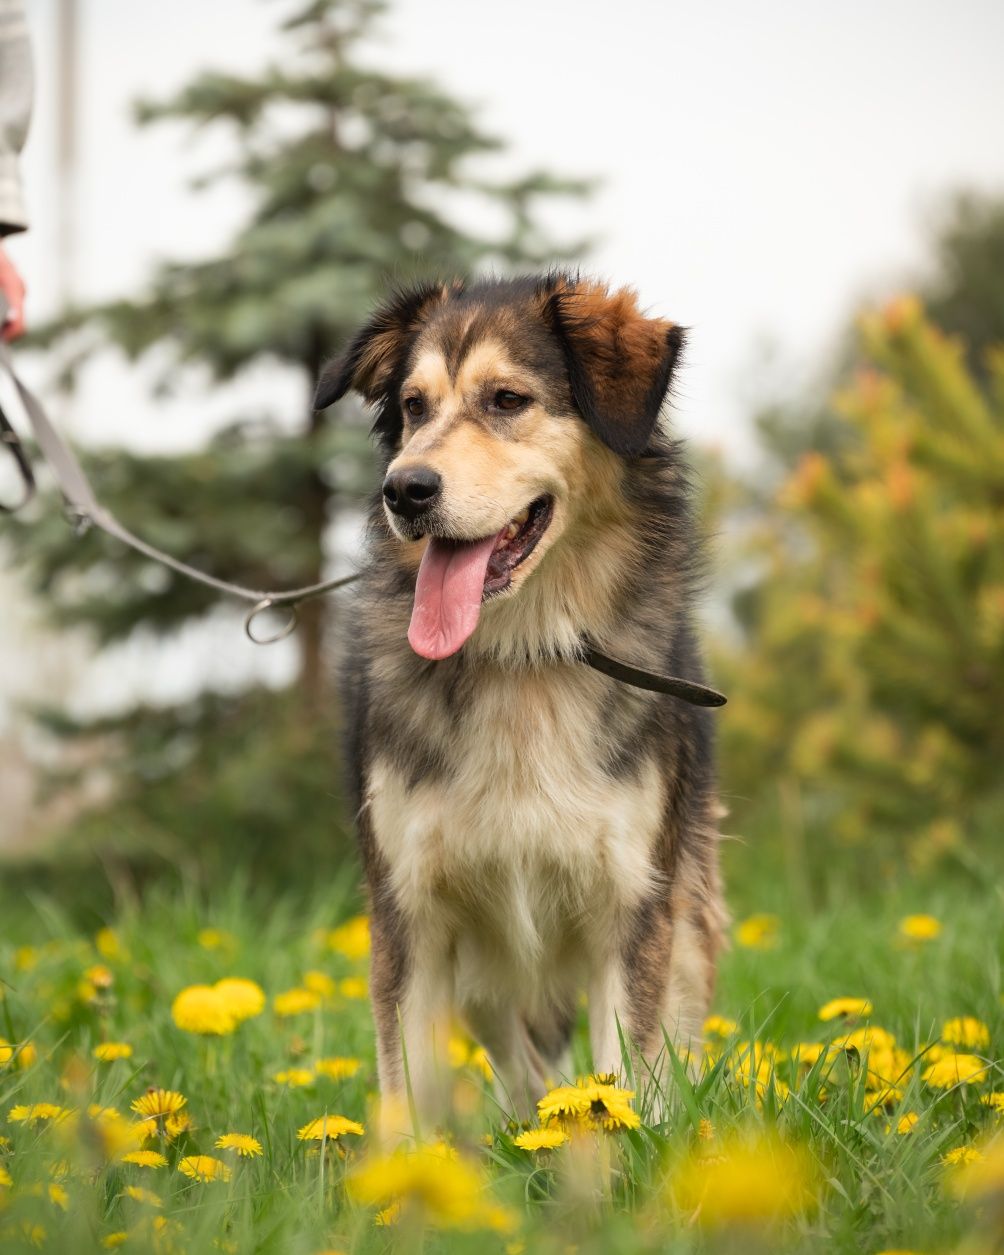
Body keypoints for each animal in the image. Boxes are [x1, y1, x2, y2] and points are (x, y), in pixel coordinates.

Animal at [317, 274, 727, 1139]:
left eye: (507, 399)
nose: (405, 488)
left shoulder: (633, 903)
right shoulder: (410, 913)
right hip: (485, 963)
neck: (526, 656)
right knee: (516, 1047)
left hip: (690, 905)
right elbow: (406, 1081)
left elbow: (629, 1070)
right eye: (413, 407)